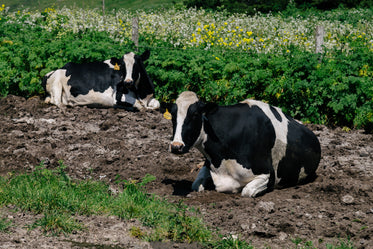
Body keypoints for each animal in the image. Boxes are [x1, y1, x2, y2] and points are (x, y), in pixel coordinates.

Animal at [161, 90, 322, 197]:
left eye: (195, 115)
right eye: (173, 116)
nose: (176, 146)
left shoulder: (267, 174)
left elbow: (246, 192)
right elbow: (195, 185)